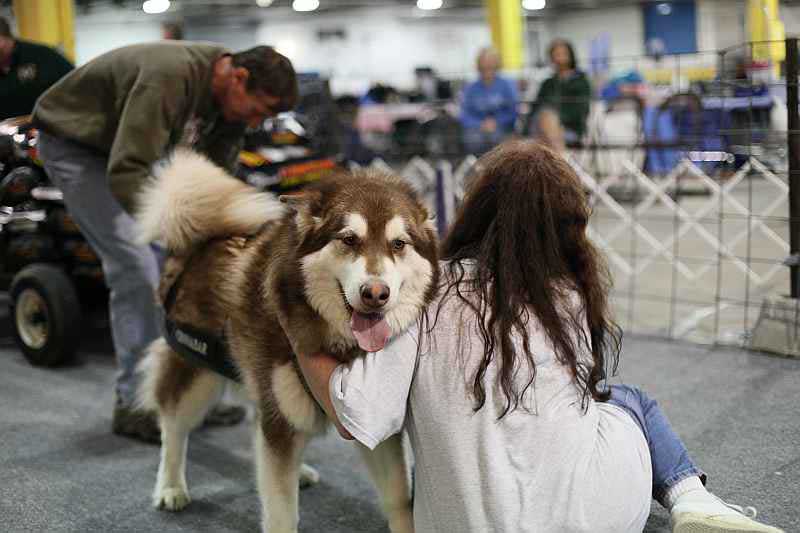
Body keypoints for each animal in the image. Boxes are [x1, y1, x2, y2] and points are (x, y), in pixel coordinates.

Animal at [135, 151, 440, 532]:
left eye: (398, 244)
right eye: (348, 239)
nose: (375, 293)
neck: (335, 339)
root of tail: (200, 240)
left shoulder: (368, 420)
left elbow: (398, 497)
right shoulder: (280, 419)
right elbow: (281, 512)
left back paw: (300, 471)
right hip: (196, 372)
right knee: (173, 425)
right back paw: (170, 486)